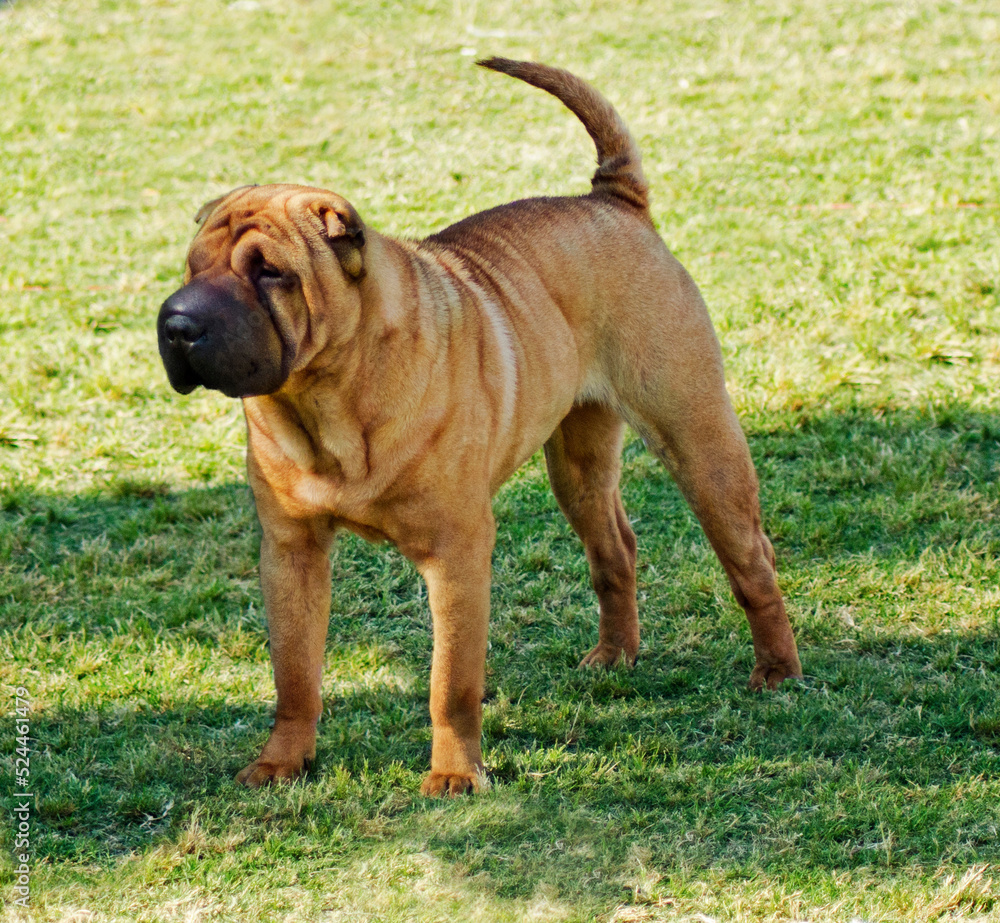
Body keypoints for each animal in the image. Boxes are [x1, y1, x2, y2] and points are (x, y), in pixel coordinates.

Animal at [156, 56, 800, 796]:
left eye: (270, 273)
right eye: (192, 267)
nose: (177, 322)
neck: (327, 399)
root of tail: (614, 200)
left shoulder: (456, 552)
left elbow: (451, 683)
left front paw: (456, 773)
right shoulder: (291, 550)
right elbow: (294, 672)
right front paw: (281, 762)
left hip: (697, 439)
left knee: (751, 558)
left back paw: (777, 672)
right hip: (578, 467)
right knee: (614, 550)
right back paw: (613, 656)